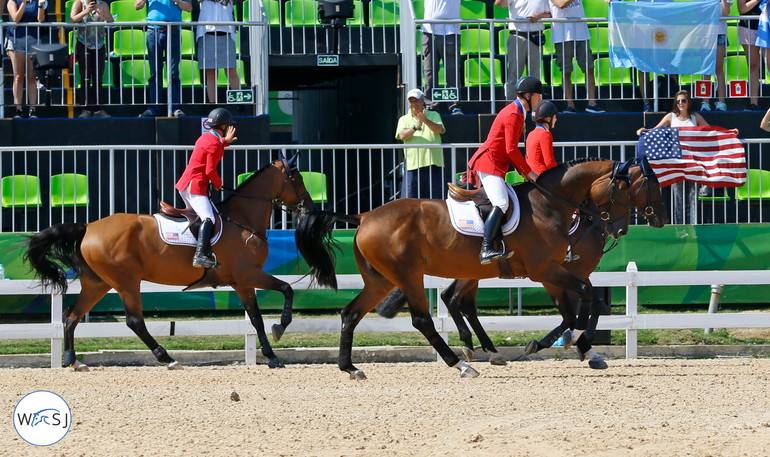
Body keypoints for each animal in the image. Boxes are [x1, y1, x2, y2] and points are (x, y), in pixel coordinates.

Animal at [24, 153, 312, 370]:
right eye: (298, 178)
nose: (309, 207)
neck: (242, 220)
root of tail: (88, 227)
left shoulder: (242, 282)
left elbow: (257, 315)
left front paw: (272, 349)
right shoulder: (248, 276)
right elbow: (279, 297)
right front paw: (277, 340)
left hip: (98, 283)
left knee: (72, 316)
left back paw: (72, 360)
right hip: (126, 281)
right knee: (134, 321)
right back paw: (167, 358)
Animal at [294, 157, 632, 378]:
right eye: (627, 191)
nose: (620, 229)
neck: (548, 206)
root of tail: (364, 216)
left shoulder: (554, 272)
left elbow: (575, 305)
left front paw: (571, 342)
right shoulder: (545, 270)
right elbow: (584, 297)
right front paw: (567, 341)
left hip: (382, 280)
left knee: (351, 313)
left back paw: (350, 367)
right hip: (408, 275)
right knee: (424, 319)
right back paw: (461, 364)